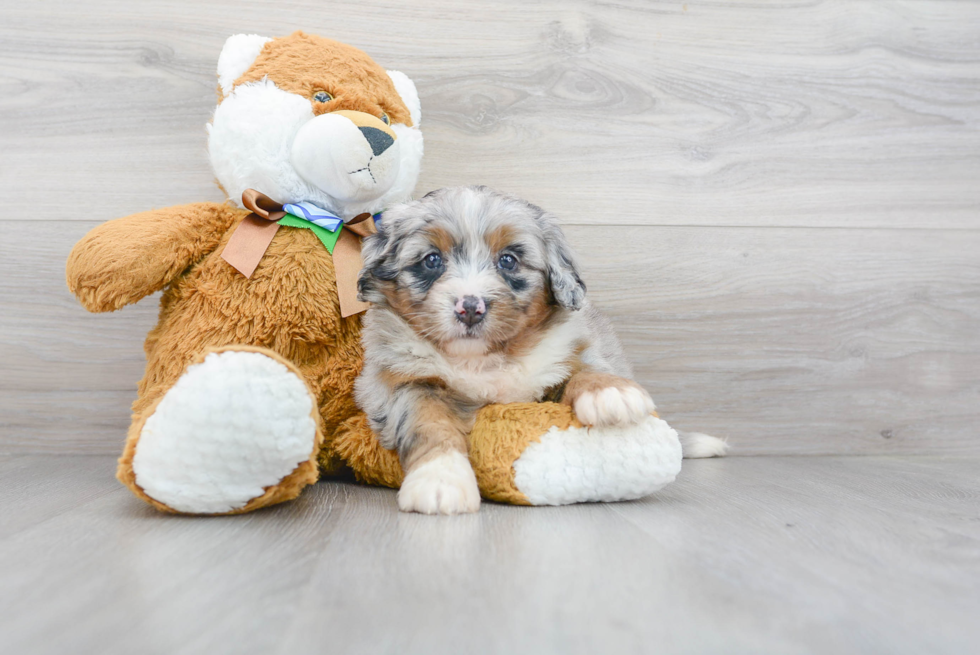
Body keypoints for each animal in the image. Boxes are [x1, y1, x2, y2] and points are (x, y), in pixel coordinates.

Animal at [356, 187, 724, 516]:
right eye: (432, 259)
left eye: (508, 260)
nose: (470, 308)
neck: (484, 359)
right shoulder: (403, 381)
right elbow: (429, 423)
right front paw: (440, 480)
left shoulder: (566, 348)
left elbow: (584, 366)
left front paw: (610, 392)